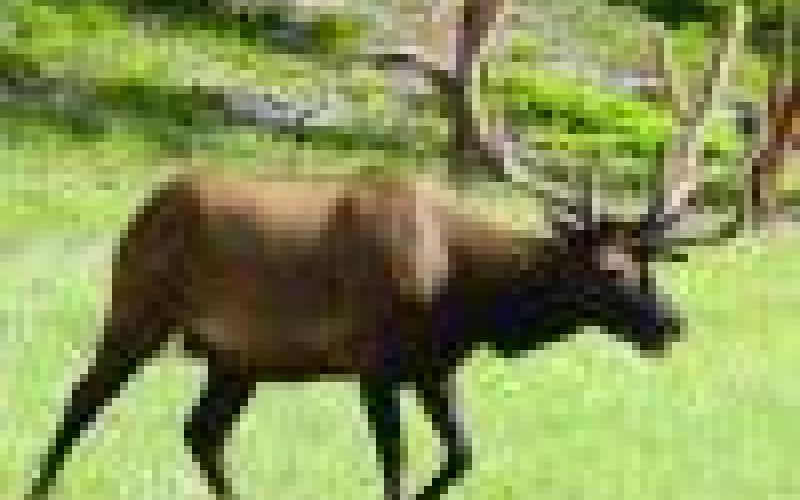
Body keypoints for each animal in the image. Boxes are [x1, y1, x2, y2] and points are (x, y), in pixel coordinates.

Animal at [27, 2, 763, 499]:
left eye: (649, 262)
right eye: (609, 269)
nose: (673, 322)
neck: (465, 296)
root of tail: (145, 208)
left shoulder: (436, 366)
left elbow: (462, 455)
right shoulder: (373, 360)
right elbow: (395, 466)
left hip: (237, 357)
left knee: (201, 432)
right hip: (139, 307)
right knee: (82, 398)